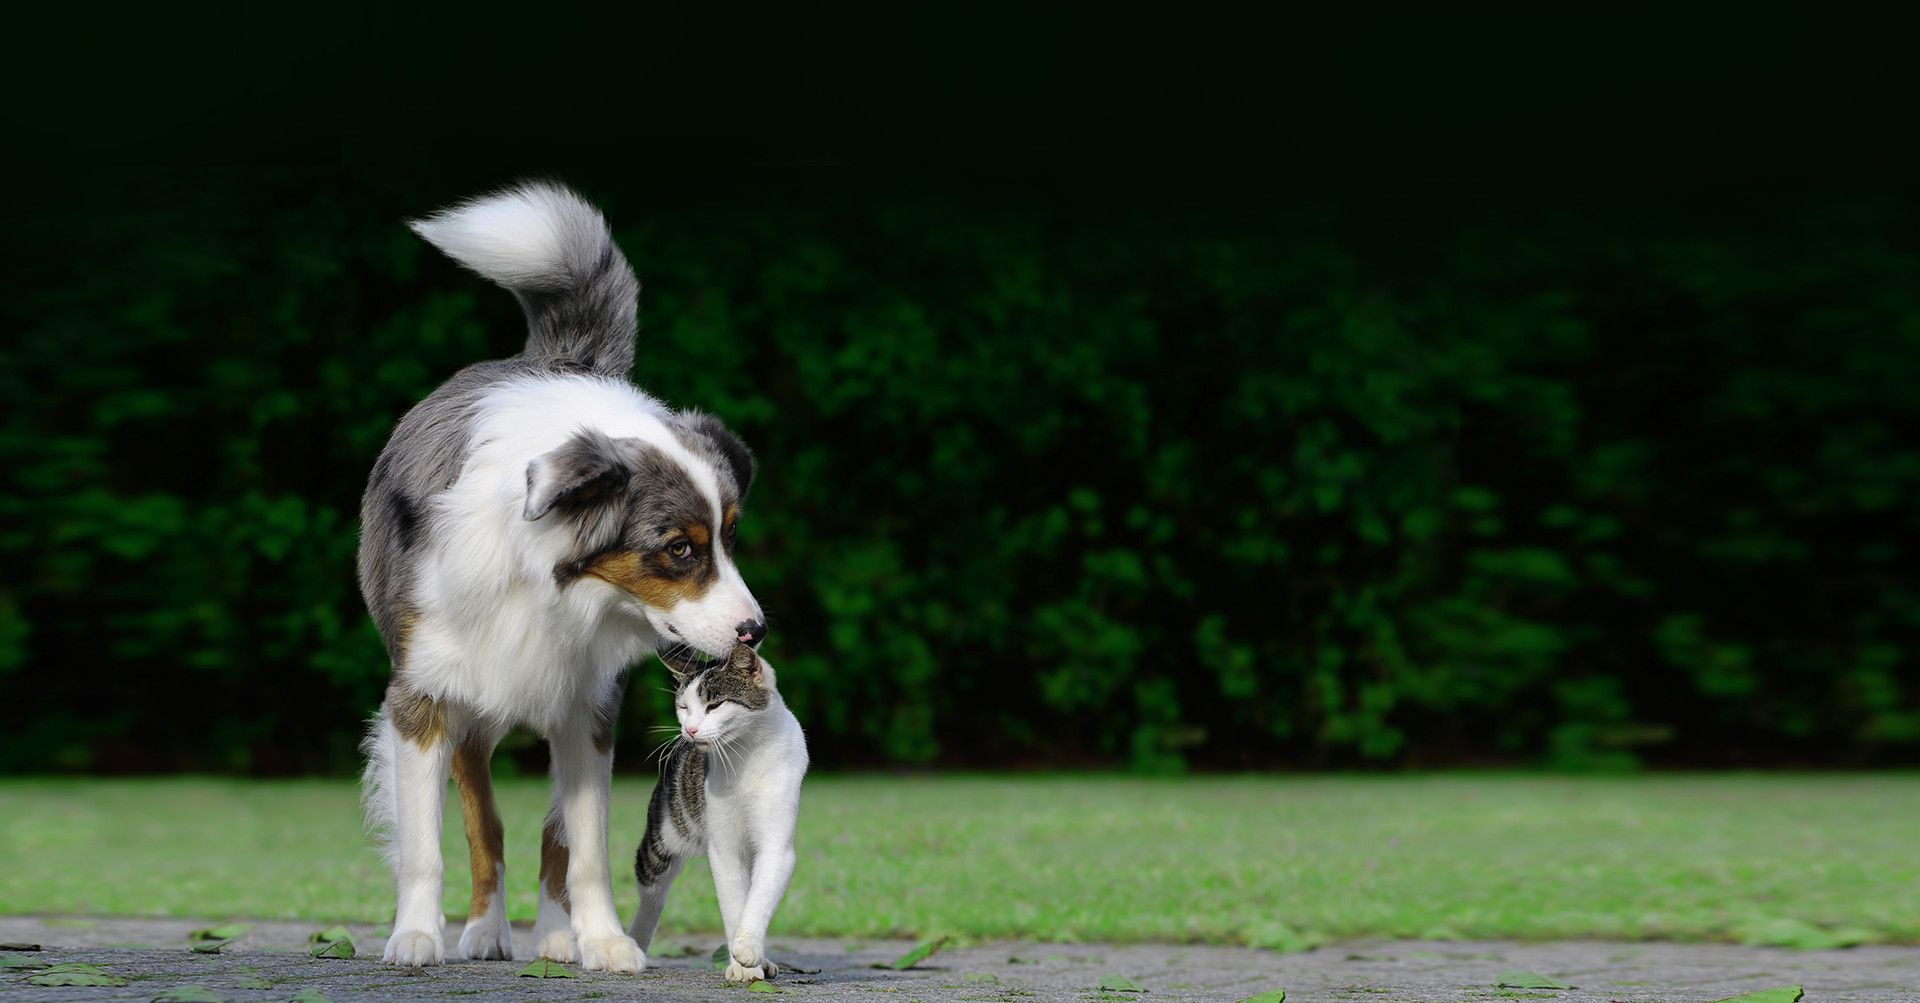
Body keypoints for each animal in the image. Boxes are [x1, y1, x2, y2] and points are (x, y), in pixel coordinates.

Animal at [357, 181, 760, 968]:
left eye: (729, 537)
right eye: (679, 549)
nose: (754, 629)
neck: (549, 585)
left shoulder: (588, 708)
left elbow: (585, 846)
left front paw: (601, 940)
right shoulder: (423, 695)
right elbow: (430, 845)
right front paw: (416, 935)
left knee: (552, 836)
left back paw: (550, 933)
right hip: (474, 707)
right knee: (484, 822)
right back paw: (486, 930)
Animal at [633, 641, 806, 976]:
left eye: (714, 705)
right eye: (684, 707)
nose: (689, 730)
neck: (747, 753)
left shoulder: (776, 843)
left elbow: (759, 897)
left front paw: (749, 949)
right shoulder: (724, 846)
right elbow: (733, 902)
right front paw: (743, 968)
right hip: (661, 838)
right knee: (652, 894)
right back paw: (629, 945)